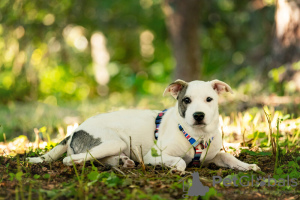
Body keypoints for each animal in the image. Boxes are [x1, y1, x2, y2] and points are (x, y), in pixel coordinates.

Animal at [27, 79, 260, 172]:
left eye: (209, 99)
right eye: (186, 100)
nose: (199, 115)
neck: (198, 136)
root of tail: (76, 129)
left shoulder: (213, 155)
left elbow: (229, 157)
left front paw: (247, 166)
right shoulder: (153, 156)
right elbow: (180, 161)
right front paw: (176, 168)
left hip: (116, 146)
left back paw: (123, 162)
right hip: (113, 142)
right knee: (72, 159)